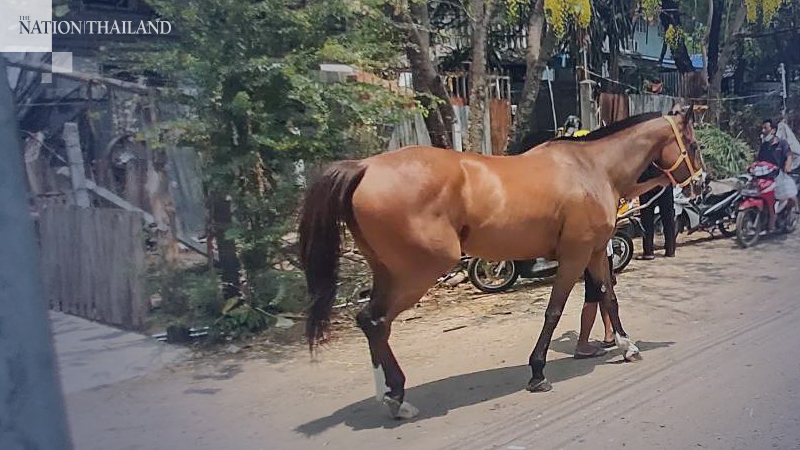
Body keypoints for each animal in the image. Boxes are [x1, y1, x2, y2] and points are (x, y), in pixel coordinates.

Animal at [298, 108, 703, 419]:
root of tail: (365, 167)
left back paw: (388, 395)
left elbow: (608, 296)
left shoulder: (594, 251)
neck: (590, 168)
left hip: (388, 271)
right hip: (418, 272)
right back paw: (396, 398)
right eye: (695, 145)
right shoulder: (575, 254)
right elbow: (554, 310)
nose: (701, 184)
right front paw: (538, 372)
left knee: (371, 323)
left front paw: (627, 346)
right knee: (376, 321)